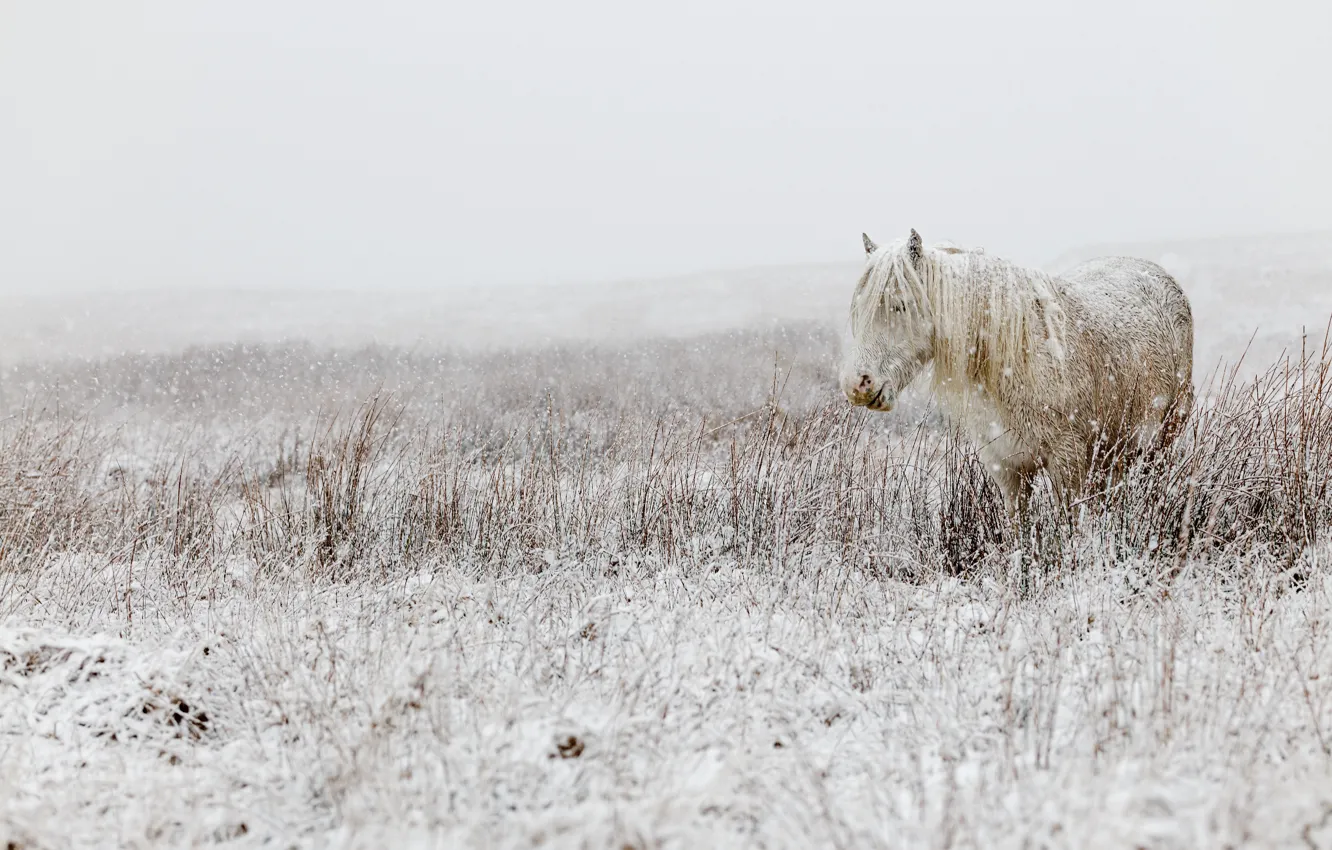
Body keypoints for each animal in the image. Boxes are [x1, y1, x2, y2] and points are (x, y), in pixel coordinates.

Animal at [840, 229, 1194, 520]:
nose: (857, 385)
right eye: (856, 310)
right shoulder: (1008, 470)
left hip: (1162, 442)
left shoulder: (1068, 464)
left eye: (900, 305)